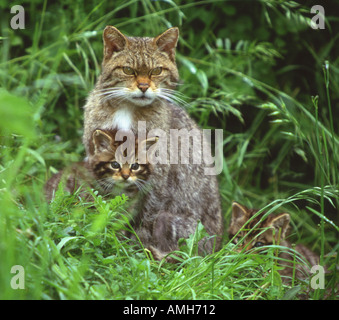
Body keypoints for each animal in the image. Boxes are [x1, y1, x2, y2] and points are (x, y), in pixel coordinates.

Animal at [83, 26, 224, 258]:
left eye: (156, 71)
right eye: (128, 70)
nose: (143, 87)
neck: (127, 110)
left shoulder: (157, 180)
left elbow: (146, 218)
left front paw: (135, 246)